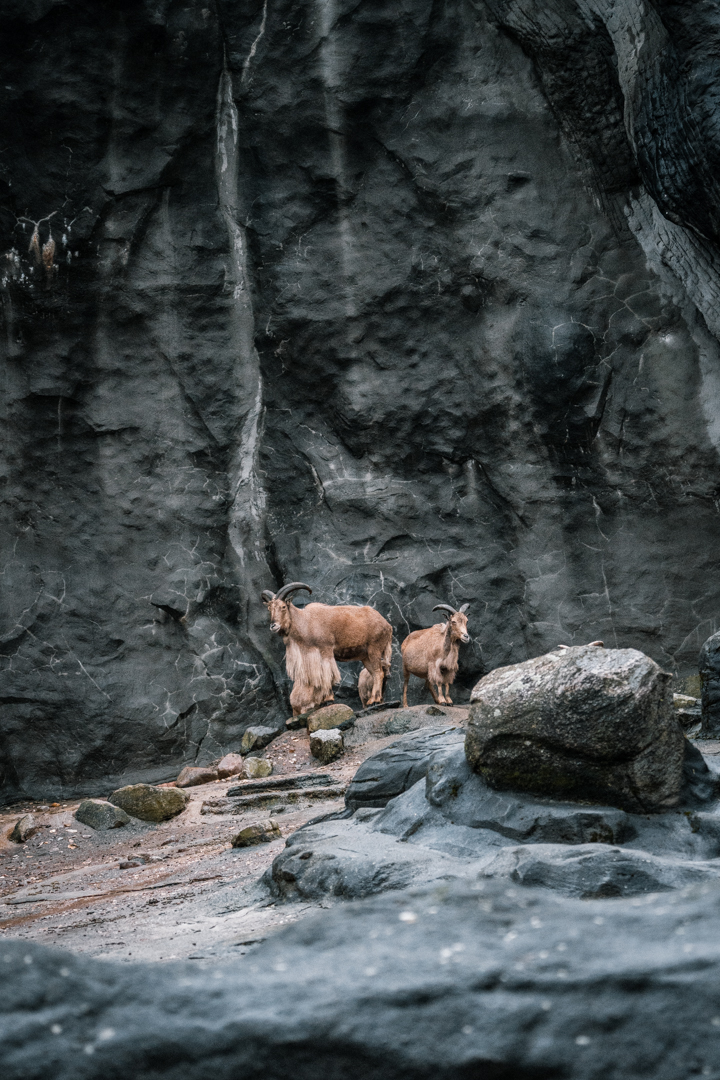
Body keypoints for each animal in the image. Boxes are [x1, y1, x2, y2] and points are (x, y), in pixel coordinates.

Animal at [262, 582, 393, 716]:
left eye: (283, 607)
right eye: (269, 609)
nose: (273, 626)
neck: (307, 621)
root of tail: (387, 625)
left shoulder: (326, 649)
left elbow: (327, 674)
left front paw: (328, 700)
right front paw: (324, 700)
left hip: (374, 649)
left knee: (378, 673)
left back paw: (374, 701)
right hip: (365, 656)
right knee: (374, 673)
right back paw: (373, 700)